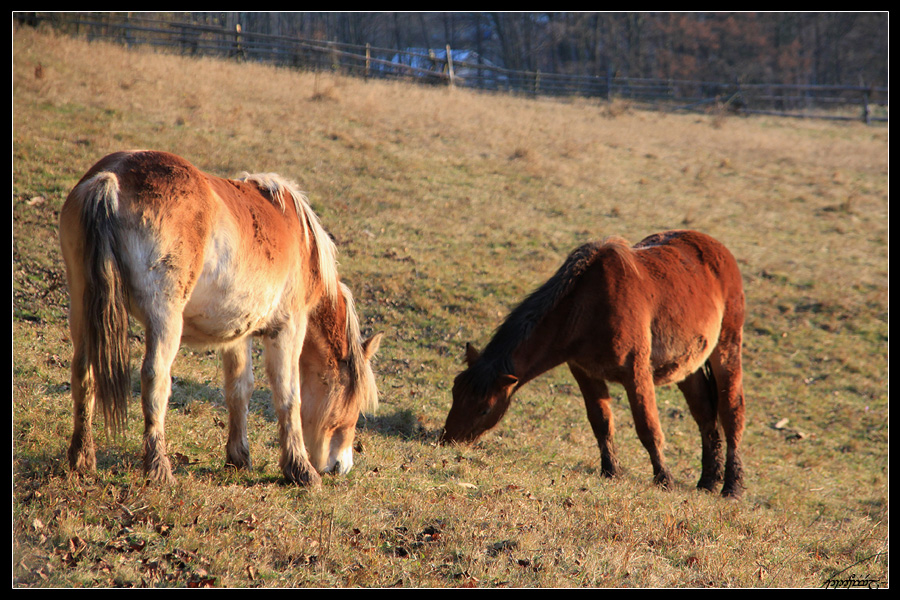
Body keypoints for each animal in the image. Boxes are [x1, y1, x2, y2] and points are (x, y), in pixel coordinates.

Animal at [442, 230, 744, 496]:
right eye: (455, 394)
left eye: (484, 409)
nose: (448, 440)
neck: (588, 306)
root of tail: (719, 250)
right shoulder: (584, 372)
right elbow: (601, 422)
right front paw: (611, 472)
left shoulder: (636, 373)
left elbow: (648, 428)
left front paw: (664, 479)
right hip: (687, 367)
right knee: (705, 415)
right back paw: (708, 481)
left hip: (727, 350)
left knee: (731, 414)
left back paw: (732, 487)